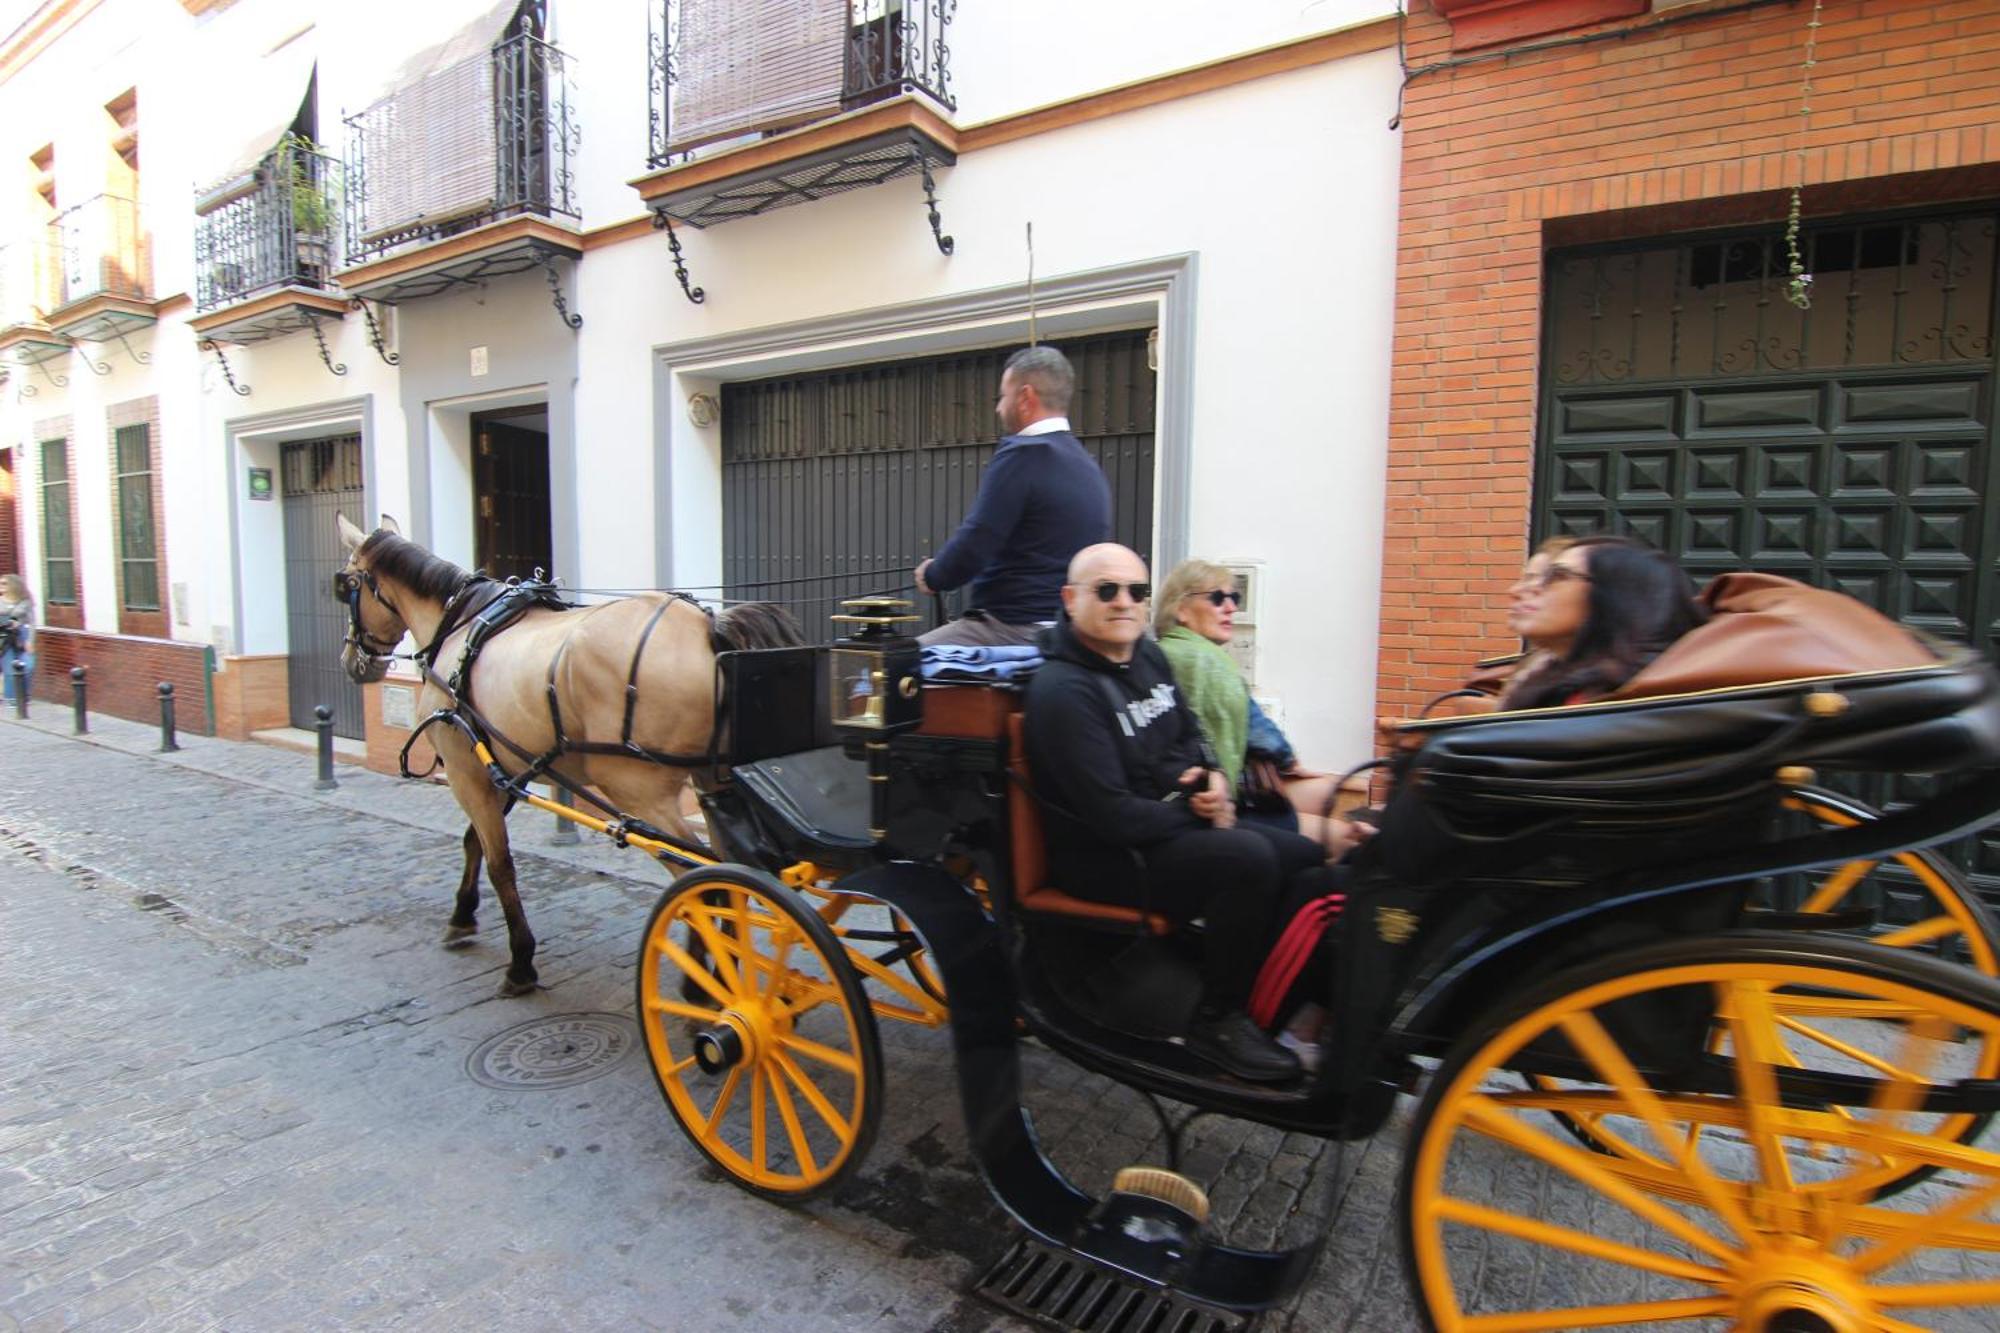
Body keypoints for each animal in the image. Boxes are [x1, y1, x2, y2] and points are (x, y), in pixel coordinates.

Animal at [332, 512, 800, 992]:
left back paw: (702, 989)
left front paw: (521, 960)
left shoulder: (467, 773)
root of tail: (708, 629)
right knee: (730, 875)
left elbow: (499, 862)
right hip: (712, 780)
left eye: (344, 585)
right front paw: (462, 915)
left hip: (639, 792)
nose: (353, 663)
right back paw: (726, 974)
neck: (462, 625)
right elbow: (473, 843)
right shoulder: (503, 769)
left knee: (701, 879)